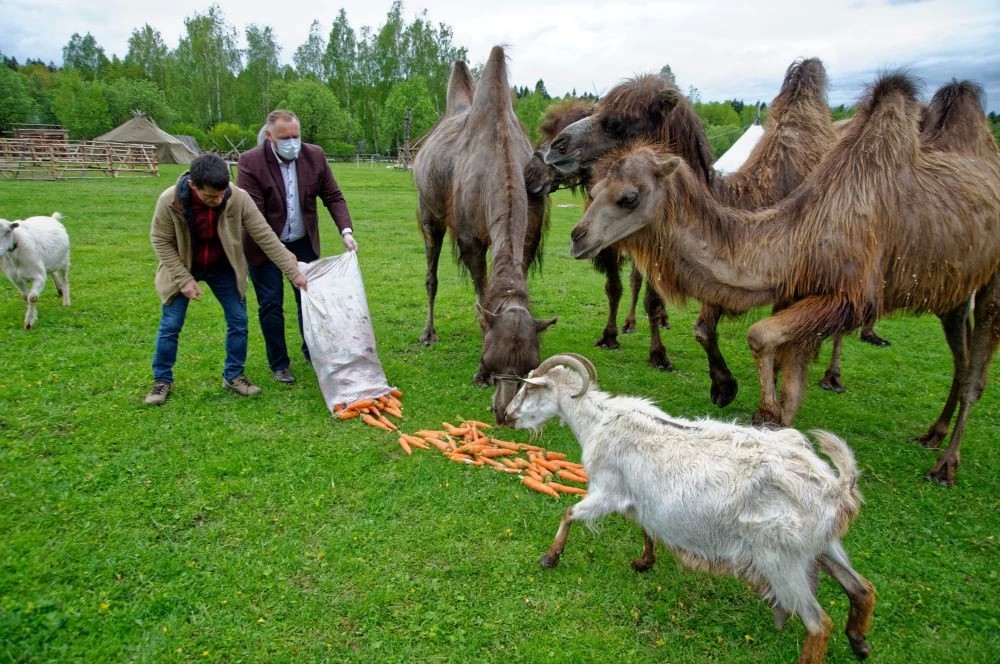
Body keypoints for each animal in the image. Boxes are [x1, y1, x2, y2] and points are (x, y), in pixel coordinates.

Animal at [412, 46, 560, 422]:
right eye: (492, 361)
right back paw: (428, 334)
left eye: (530, 365)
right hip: (428, 212)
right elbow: (482, 296)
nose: (505, 412)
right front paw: (478, 373)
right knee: (431, 272)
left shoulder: (529, 235)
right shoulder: (470, 239)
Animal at [508, 352, 876, 664]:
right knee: (861, 589)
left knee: (818, 623)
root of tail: (836, 489)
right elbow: (646, 526)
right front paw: (644, 561)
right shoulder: (640, 498)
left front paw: (550, 557)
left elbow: (570, 513)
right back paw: (860, 642)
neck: (599, 422)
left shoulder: (607, 491)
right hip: (823, 546)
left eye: (530, 387)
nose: (507, 415)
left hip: (781, 560)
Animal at [540, 59, 860, 408]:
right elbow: (695, 324)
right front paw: (722, 384)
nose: (555, 148)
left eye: (617, 123)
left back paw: (833, 377)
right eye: (595, 108)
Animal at [572, 72, 1000, 486]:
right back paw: (933, 433)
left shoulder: (850, 297)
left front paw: (762, 411)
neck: (798, 230)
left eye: (628, 197)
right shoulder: (800, 294)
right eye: (595, 188)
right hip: (953, 290)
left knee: (976, 373)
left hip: (990, 282)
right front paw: (767, 414)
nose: (578, 236)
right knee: (961, 361)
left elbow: (761, 337)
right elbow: (787, 375)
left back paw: (944, 465)